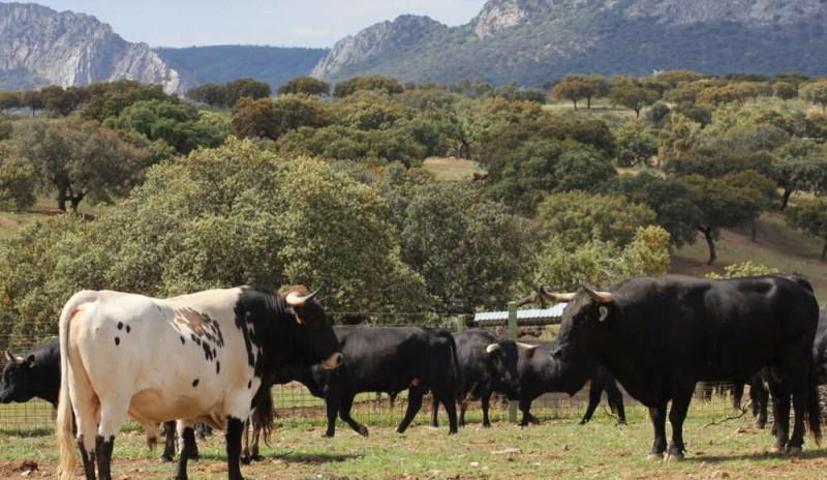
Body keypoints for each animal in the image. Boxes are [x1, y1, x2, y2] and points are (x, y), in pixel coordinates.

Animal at [57, 284, 342, 480]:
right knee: (103, 445)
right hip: (113, 401)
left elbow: (185, 443)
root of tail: (94, 297)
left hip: (82, 397)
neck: (255, 323)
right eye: (317, 318)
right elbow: (232, 446)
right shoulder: (238, 402)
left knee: (86, 443)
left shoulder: (189, 405)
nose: (339, 356)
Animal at [548, 276, 820, 460]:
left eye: (583, 316)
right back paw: (779, 443)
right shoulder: (654, 383)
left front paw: (675, 450)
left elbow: (675, 415)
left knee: (799, 399)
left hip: (795, 359)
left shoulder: (684, 380)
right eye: (565, 313)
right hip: (774, 366)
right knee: (780, 399)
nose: (557, 351)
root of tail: (794, 282)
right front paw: (656, 449)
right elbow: (656, 416)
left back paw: (795, 444)